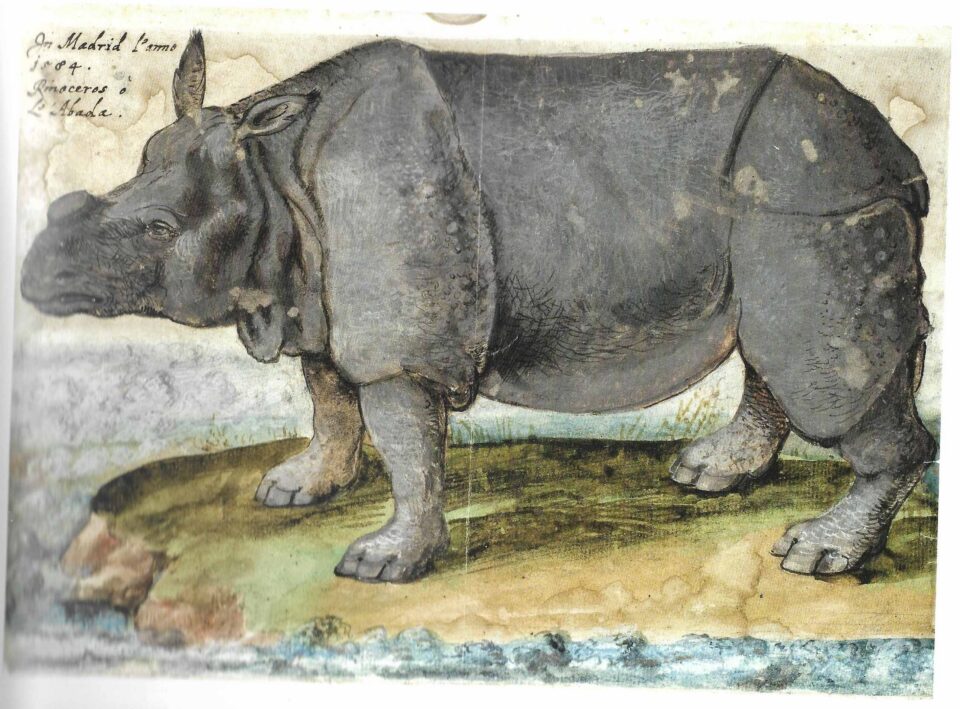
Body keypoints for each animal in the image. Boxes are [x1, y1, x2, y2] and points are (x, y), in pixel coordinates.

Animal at [20, 32, 936, 583]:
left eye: (158, 230)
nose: (33, 273)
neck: (272, 177)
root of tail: (895, 151)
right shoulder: (316, 298)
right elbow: (327, 397)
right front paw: (296, 487)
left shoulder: (401, 340)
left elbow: (405, 442)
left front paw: (385, 562)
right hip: (800, 193)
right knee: (773, 349)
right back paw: (709, 473)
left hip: (816, 198)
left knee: (815, 357)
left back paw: (815, 553)